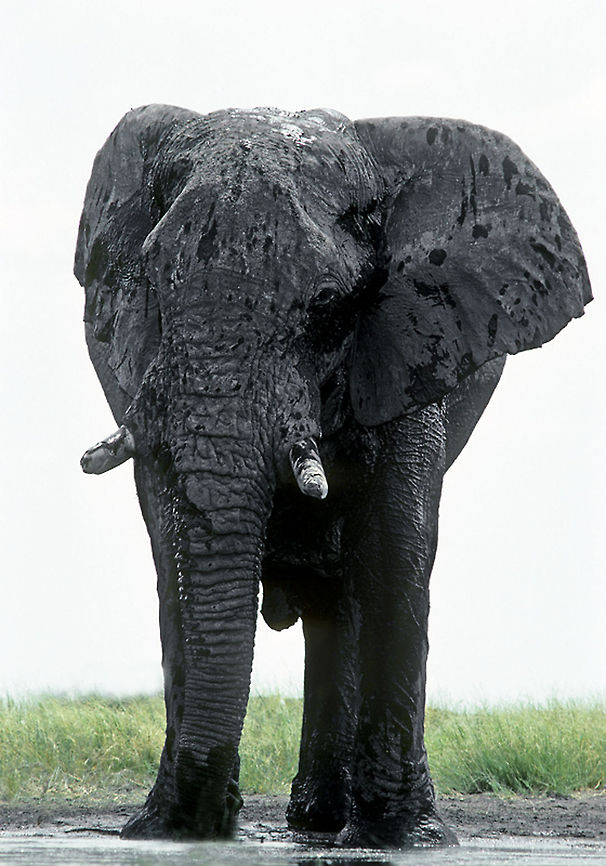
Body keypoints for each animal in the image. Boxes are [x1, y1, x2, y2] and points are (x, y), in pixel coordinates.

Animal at [75, 104, 591, 847]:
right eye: (149, 283)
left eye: (326, 305)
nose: (203, 820)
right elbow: (170, 544)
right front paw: (163, 832)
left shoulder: (417, 338)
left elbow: (396, 544)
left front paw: (405, 840)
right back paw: (313, 819)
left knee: (349, 586)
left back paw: (328, 821)